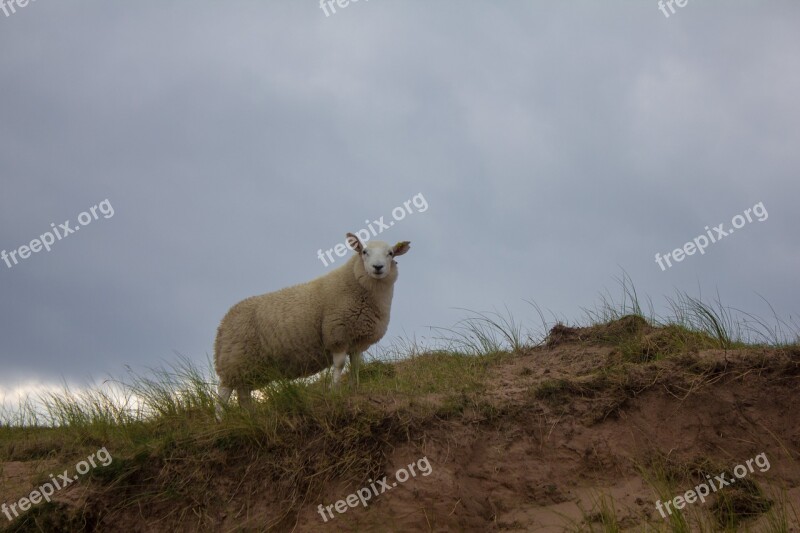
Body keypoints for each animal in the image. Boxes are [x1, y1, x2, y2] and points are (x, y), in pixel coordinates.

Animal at [214, 231, 412, 418]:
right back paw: (220, 420)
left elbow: (356, 366)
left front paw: (354, 389)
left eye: (390, 253)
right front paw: (335, 392)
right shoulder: (337, 334)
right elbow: (340, 365)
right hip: (234, 360)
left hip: (249, 367)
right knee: (223, 394)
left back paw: (251, 416)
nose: (377, 267)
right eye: (364, 252)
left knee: (243, 393)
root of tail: (223, 322)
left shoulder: (357, 341)